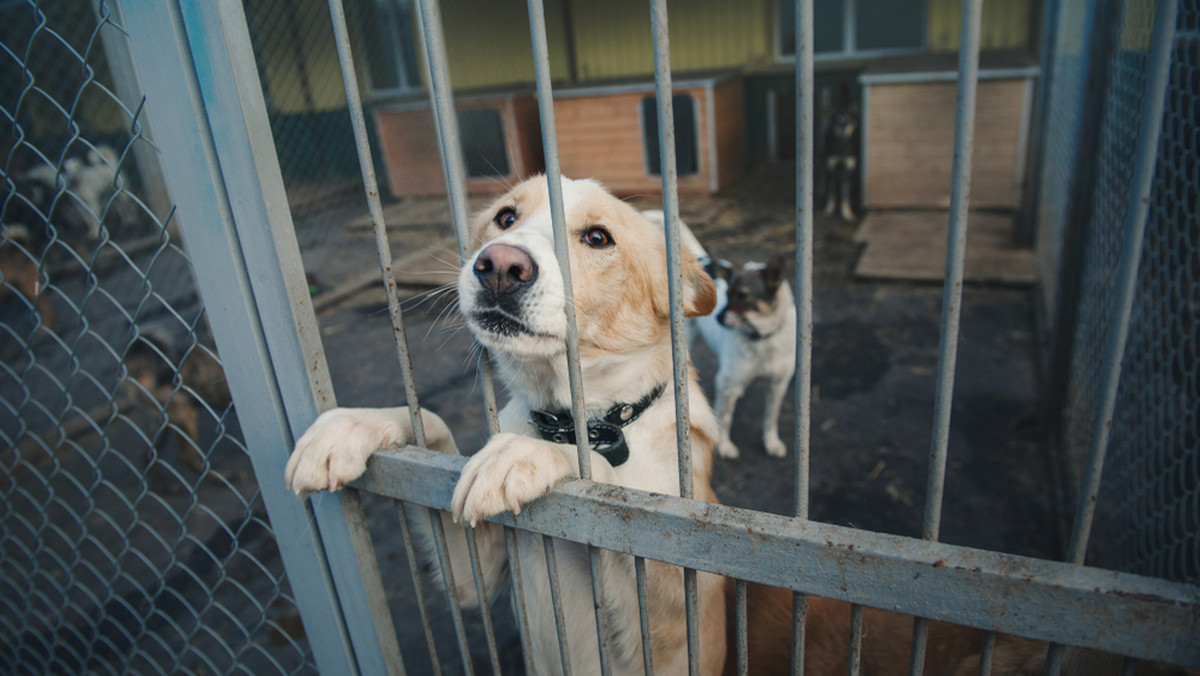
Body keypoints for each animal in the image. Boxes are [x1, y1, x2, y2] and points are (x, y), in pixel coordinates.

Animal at [285, 177, 724, 672]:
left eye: (598, 238)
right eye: (506, 217)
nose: (499, 266)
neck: (575, 418)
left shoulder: (672, 613)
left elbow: (602, 483)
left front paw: (523, 453)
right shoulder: (475, 574)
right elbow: (429, 425)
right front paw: (348, 426)